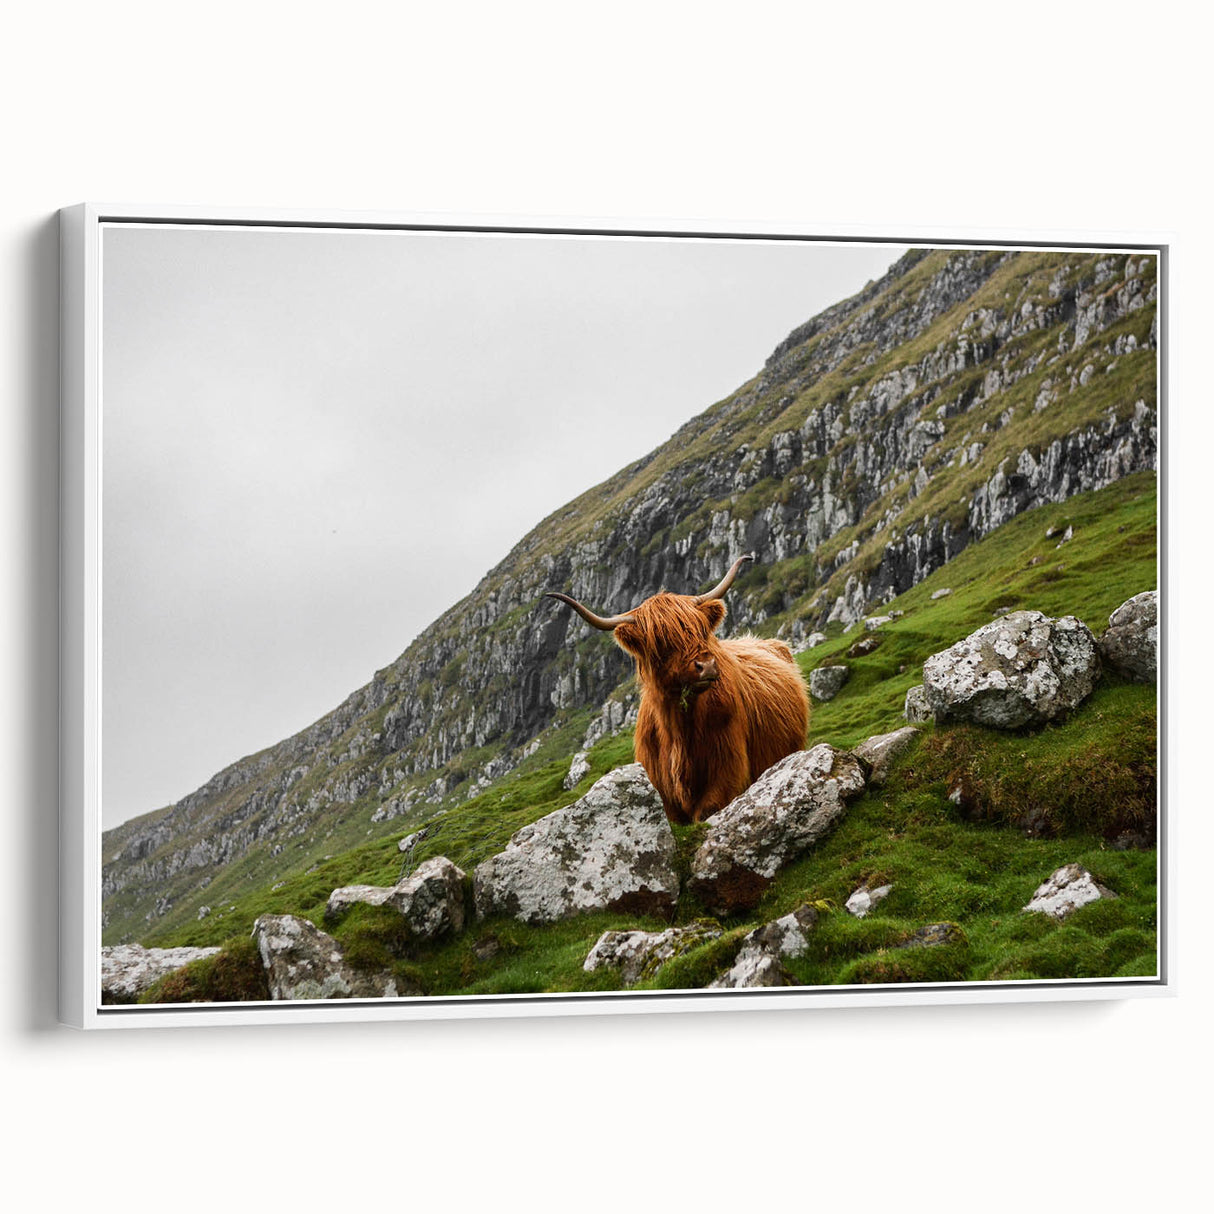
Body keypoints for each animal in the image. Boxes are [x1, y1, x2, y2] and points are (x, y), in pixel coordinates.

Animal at [546, 555, 810, 824]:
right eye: (661, 641)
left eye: (701, 630)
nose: (707, 666)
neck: (678, 732)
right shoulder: (663, 793)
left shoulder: (727, 774)